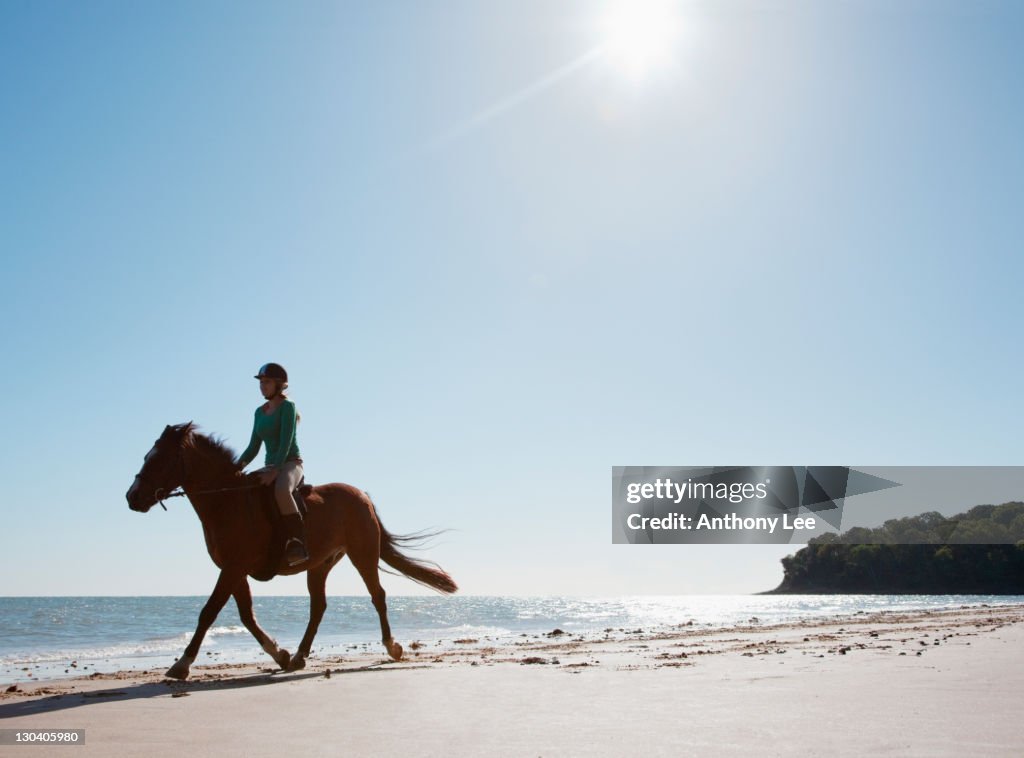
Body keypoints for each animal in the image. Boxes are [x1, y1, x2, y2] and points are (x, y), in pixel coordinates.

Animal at [123, 419, 456, 680]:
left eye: (158, 459)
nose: (132, 497)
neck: (228, 501)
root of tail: (362, 496)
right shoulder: (234, 569)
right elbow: (246, 616)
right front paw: (280, 654)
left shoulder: (233, 567)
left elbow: (209, 612)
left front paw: (182, 664)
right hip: (320, 564)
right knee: (318, 607)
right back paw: (298, 656)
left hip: (362, 555)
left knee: (378, 596)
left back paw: (392, 647)